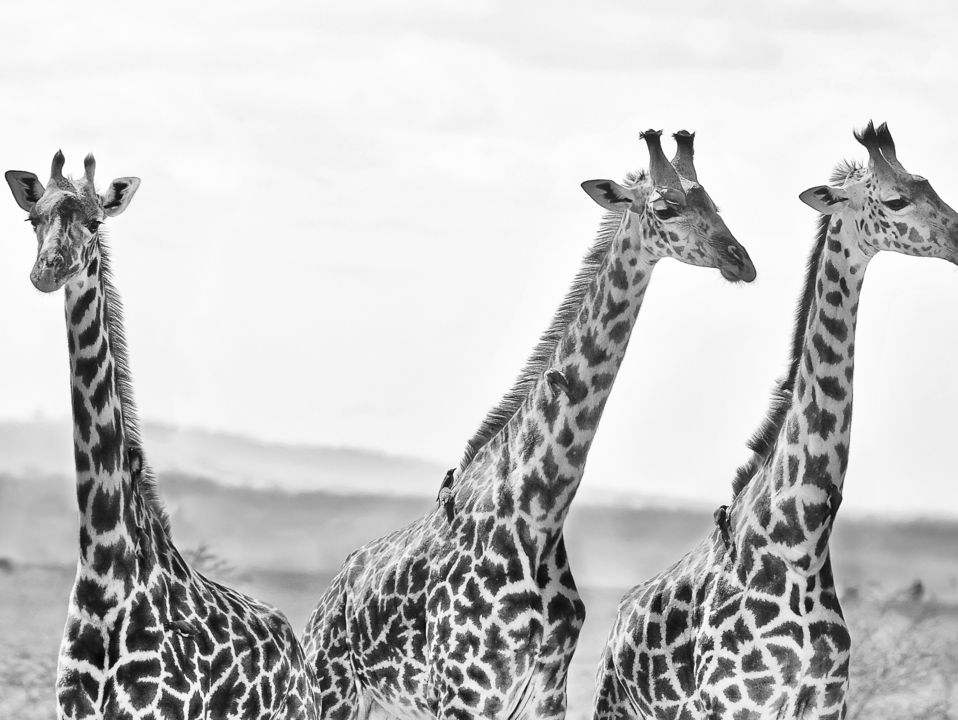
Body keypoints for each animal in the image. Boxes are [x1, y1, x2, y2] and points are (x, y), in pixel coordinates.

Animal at [5, 152, 317, 720]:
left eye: (96, 222)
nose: (48, 270)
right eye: (31, 218)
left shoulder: (154, 711)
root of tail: (298, 654)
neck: (104, 573)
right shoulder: (72, 708)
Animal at [301, 129, 756, 720]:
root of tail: (325, 604)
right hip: (333, 691)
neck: (537, 512)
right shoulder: (466, 691)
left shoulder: (546, 689)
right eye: (665, 207)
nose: (742, 260)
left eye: (715, 204)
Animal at [591, 121, 958, 720]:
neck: (799, 538)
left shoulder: (825, 699)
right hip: (615, 705)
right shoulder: (731, 700)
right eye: (896, 200)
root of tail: (617, 623)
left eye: (931, 186)